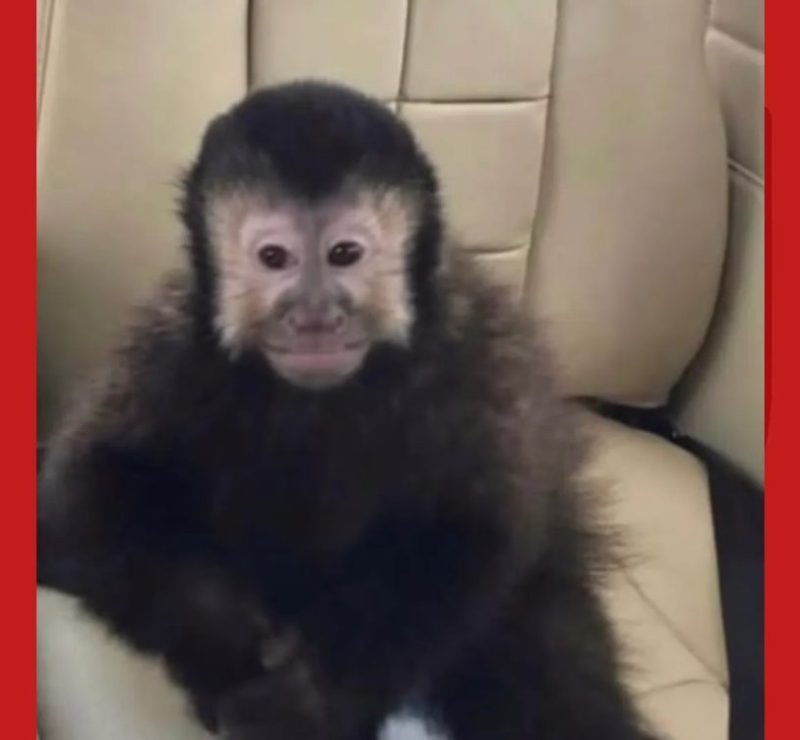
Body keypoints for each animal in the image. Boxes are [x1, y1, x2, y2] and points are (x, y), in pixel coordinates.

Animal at [37, 80, 659, 740]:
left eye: (344, 254)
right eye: (275, 258)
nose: (315, 317)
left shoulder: (477, 353)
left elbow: (479, 528)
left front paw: (310, 699)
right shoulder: (170, 347)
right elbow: (85, 489)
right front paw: (229, 648)